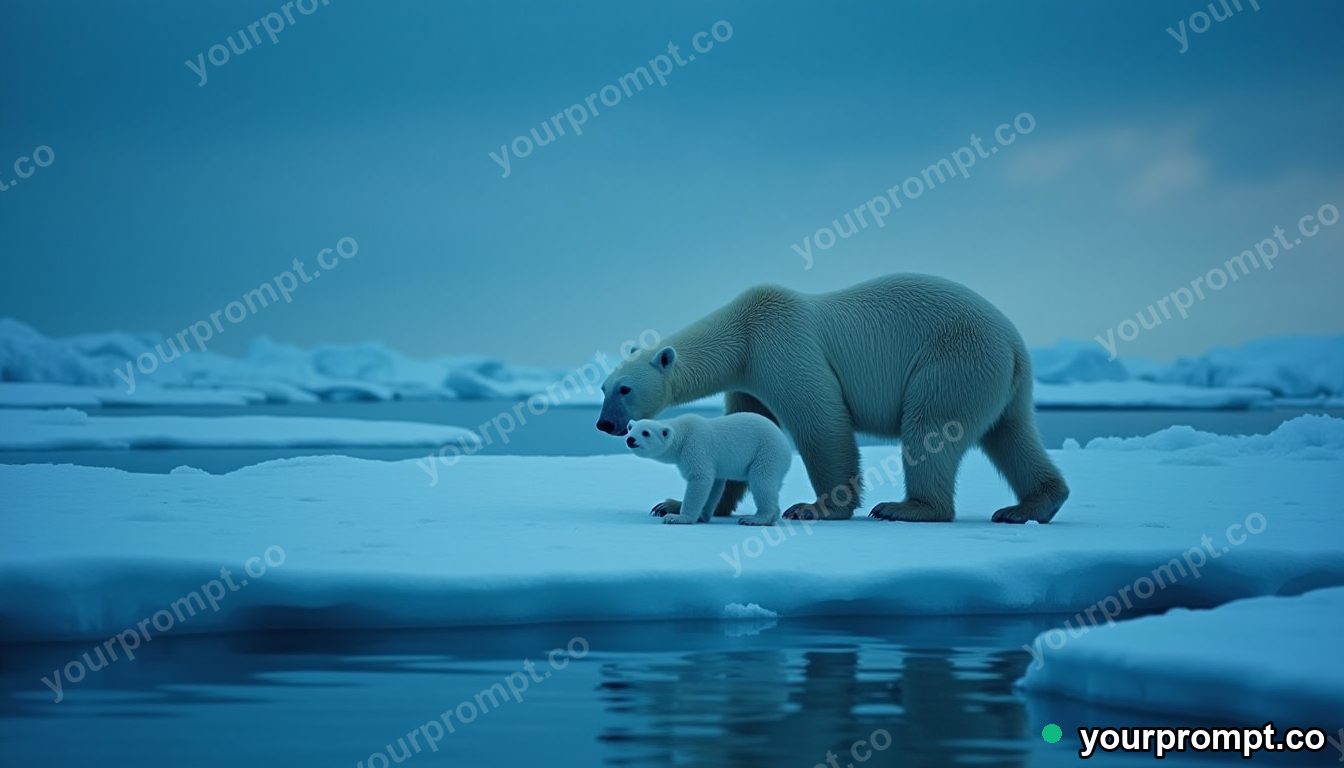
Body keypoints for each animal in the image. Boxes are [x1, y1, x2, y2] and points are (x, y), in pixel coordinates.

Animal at [623, 413, 792, 526]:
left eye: (646, 432)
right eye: (630, 428)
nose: (630, 439)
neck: (683, 434)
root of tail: (787, 447)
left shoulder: (696, 447)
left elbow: (700, 479)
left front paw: (677, 517)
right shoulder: (714, 463)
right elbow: (714, 486)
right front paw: (702, 516)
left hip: (766, 452)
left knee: (762, 481)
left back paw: (755, 519)